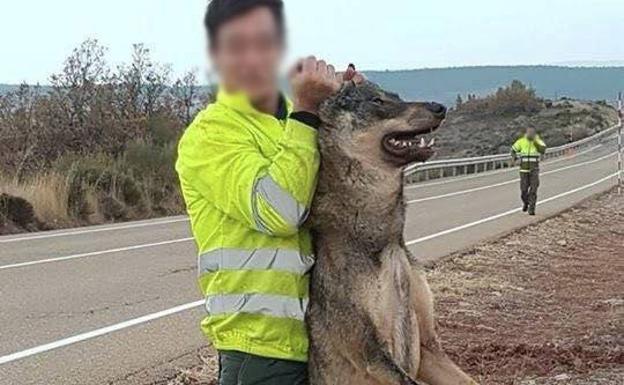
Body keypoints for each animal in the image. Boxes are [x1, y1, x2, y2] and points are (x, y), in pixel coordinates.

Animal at [308, 79, 478, 382]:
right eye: (377, 101)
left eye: (396, 96)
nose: (440, 107)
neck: (385, 239)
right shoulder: (371, 354)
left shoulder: (429, 350)